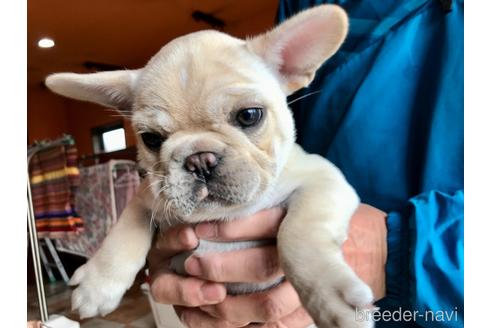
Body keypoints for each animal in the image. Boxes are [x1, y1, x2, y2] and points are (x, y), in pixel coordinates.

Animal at [47, 5, 372, 328]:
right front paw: (97, 284)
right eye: (151, 138)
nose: (198, 159)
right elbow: (124, 228)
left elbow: (298, 233)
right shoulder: (147, 196)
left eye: (250, 115)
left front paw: (331, 299)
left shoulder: (324, 179)